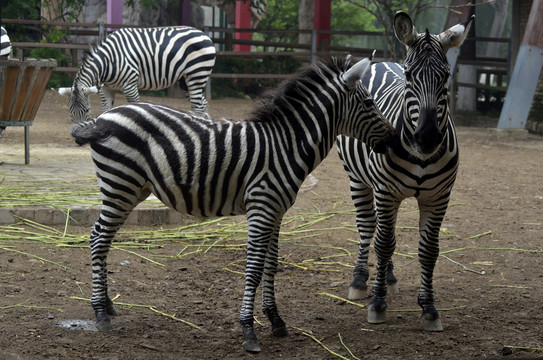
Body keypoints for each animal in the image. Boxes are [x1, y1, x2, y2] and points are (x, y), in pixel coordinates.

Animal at [59, 26, 215, 122]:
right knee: (202, 104)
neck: (109, 61)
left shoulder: (129, 84)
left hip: (196, 75)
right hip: (186, 81)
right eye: (70, 111)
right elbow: (106, 110)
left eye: (86, 110)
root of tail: (204, 35)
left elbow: (135, 108)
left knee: (197, 107)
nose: (77, 135)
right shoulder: (106, 88)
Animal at [71, 54, 396, 352]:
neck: (286, 146)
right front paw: (249, 330)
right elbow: (253, 267)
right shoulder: (261, 208)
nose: (394, 139)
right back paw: (100, 312)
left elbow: (271, 265)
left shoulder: (276, 211)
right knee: (98, 238)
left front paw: (275, 320)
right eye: (369, 103)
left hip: (130, 190)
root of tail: (104, 117)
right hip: (120, 185)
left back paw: (108, 305)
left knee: (104, 239)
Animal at [338, 11, 474, 332]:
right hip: (358, 179)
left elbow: (428, 250)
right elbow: (384, 243)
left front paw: (429, 308)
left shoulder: (438, 198)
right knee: (368, 227)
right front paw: (377, 304)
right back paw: (361, 280)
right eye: (411, 76)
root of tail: (384, 61)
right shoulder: (386, 192)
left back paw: (388, 276)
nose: (427, 138)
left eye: (446, 76)